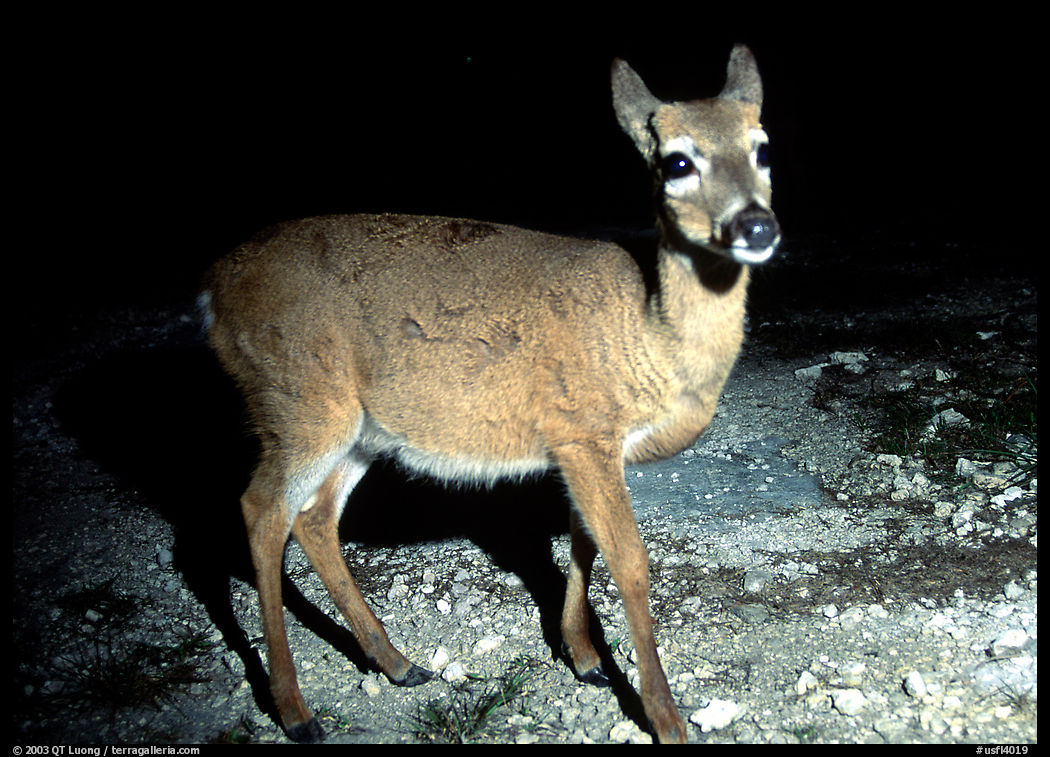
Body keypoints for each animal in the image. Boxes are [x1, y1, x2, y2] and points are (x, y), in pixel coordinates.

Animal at [200, 44, 779, 744]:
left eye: (763, 148)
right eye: (677, 162)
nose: (756, 225)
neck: (648, 332)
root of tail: (211, 294)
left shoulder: (577, 445)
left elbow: (583, 541)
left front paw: (583, 658)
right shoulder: (584, 428)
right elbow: (630, 562)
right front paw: (664, 717)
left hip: (362, 429)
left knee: (313, 519)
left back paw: (398, 664)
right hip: (299, 401)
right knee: (261, 510)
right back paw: (294, 709)